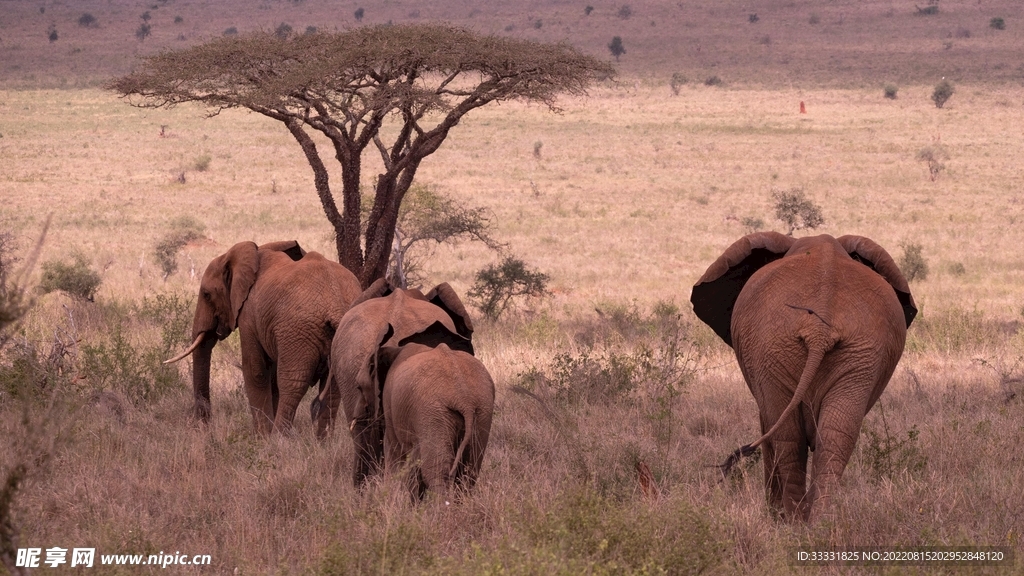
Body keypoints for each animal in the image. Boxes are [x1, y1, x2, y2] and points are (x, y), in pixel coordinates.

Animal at [165, 240, 362, 433]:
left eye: (206, 295)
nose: (203, 427)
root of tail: (335, 307)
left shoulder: (249, 315)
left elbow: (255, 371)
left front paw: (262, 437)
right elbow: (271, 376)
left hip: (298, 332)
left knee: (292, 384)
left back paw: (278, 439)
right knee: (333, 387)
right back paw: (322, 441)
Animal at [370, 321, 495, 499]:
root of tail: (463, 398)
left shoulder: (390, 409)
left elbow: (394, 452)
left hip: (433, 412)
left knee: (436, 471)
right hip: (481, 410)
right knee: (469, 470)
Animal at [691, 232, 917, 522]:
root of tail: (819, 329)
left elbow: (768, 427)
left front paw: (775, 515)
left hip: (779, 350)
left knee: (788, 439)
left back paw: (793, 521)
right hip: (854, 354)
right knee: (834, 439)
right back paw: (819, 522)